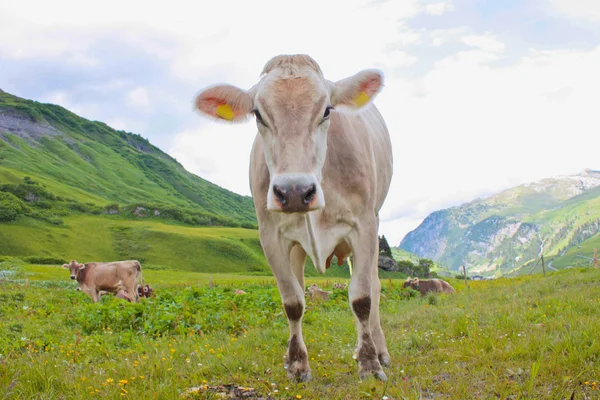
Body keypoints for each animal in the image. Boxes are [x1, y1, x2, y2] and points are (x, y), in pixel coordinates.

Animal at [195, 54, 394, 382]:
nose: (295, 191)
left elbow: (362, 298)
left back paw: (380, 351)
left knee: (374, 289)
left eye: (327, 110)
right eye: (258, 114)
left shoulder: (364, 226)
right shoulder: (270, 236)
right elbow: (292, 302)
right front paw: (298, 364)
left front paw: (369, 363)